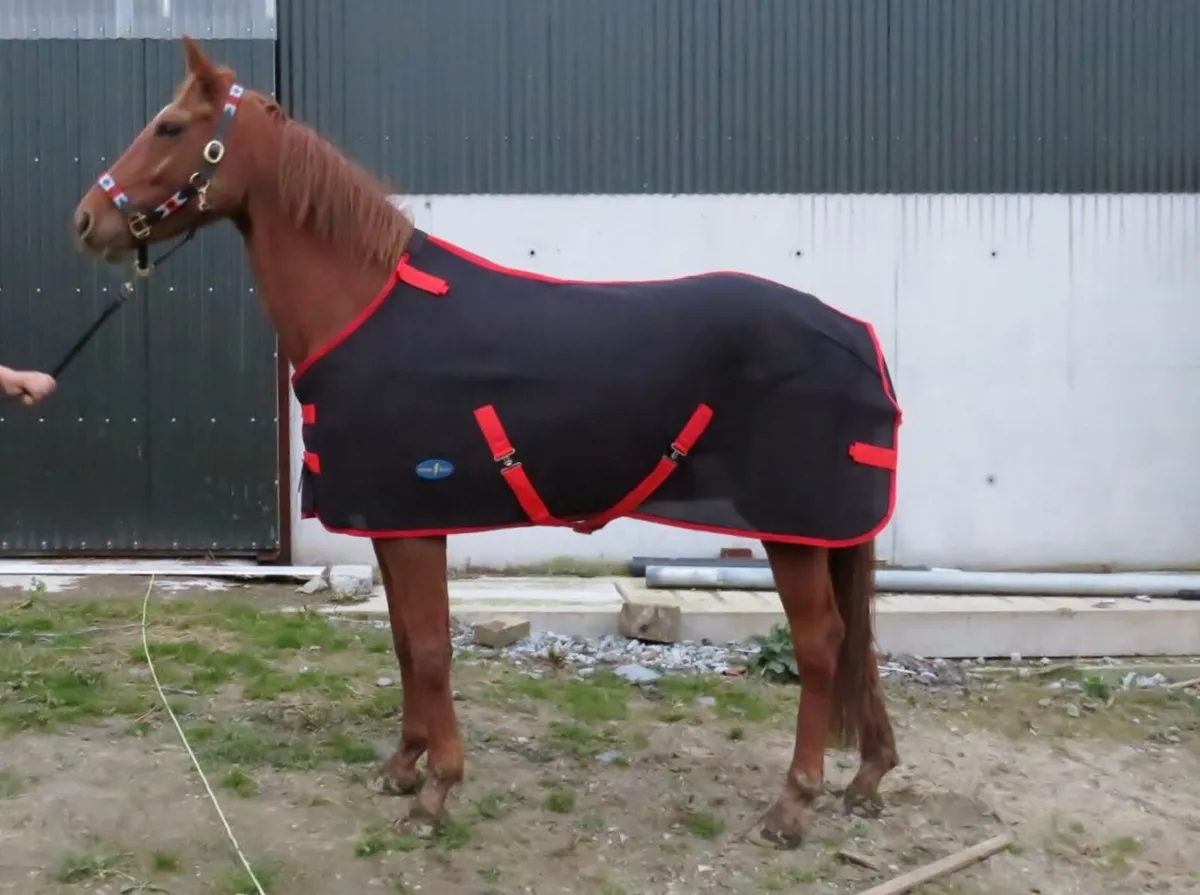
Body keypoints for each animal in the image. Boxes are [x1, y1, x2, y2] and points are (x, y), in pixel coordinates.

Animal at [70, 36, 901, 848]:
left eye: (171, 127)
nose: (85, 220)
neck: (365, 306)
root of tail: (855, 334)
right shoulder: (389, 520)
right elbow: (405, 642)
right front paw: (403, 766)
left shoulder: (414, 523)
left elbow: (432, 646)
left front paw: (437, 790)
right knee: (855, 641)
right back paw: (867, 777)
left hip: (792, 527)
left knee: (822, 643)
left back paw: (793, 805)